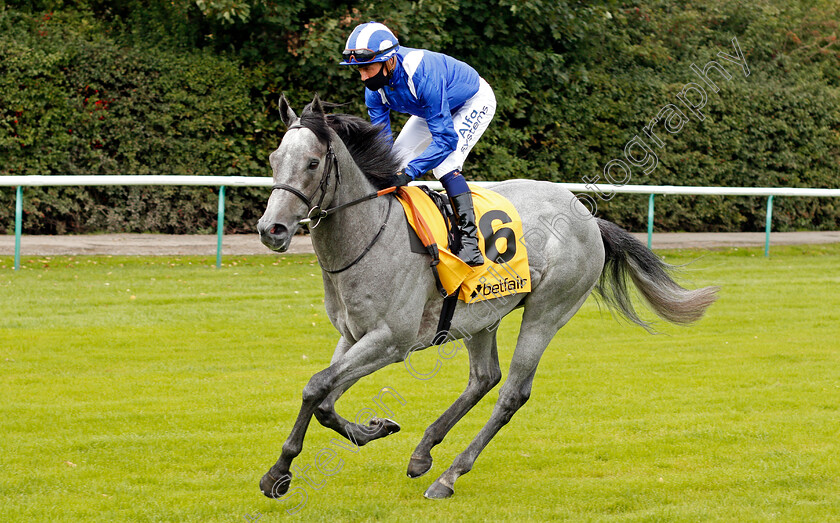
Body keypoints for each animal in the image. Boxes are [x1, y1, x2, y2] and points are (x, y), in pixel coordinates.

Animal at [254, 96, 716, 502]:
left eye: (313, 163)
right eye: (275, 160)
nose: (271, 229)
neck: (371, 234)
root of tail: (588, 216)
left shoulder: (391, 341)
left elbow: (316, 387)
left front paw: (278, 474)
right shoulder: (353, 336)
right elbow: (325, 400)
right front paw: (375, 428)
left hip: (547, 312)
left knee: (511, 392)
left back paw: (448, 477)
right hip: (481, 314)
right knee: (484, 377)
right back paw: (423, 452)